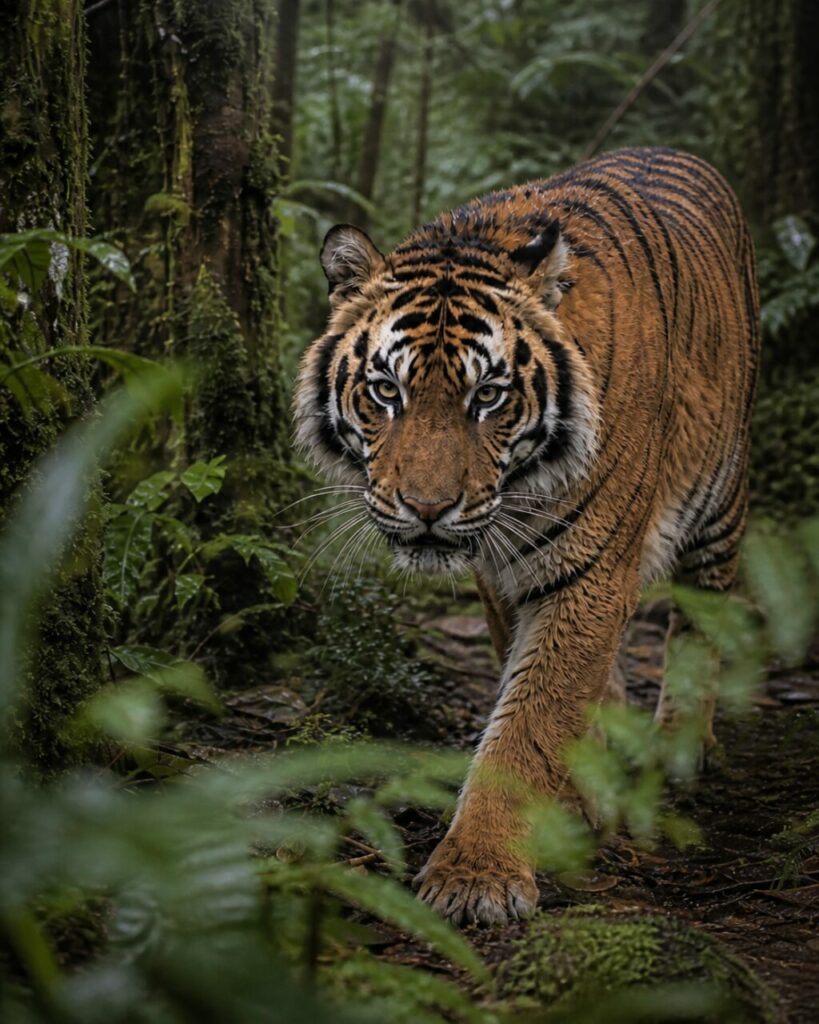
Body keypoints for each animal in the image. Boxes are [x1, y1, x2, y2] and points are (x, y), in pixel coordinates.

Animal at [294, 146, 760, 926]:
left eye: (488, 396)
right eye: (386, 391)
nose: (427, 508)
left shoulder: (588, 572)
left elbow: (528, 726)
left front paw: (475, 876)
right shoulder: (500, 570)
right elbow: (547, 693)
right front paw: (577, 796)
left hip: (720, 500)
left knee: (703, 619)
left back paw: (679, 748)